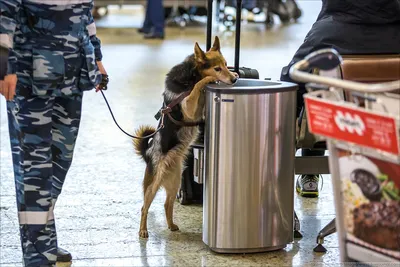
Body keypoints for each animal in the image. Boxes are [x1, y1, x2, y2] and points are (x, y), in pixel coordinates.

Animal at [133, 36, 238, 239]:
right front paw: (208, 79)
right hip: (153, 183)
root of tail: (147, 153)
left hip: (175, 183)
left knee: (167, 204)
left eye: (226, 64)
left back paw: (171, 225)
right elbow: (199, 85)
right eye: (217, 68)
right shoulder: (188, 106)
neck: (191, 76)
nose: (233, 79)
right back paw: (143, 230)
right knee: (144, 207)